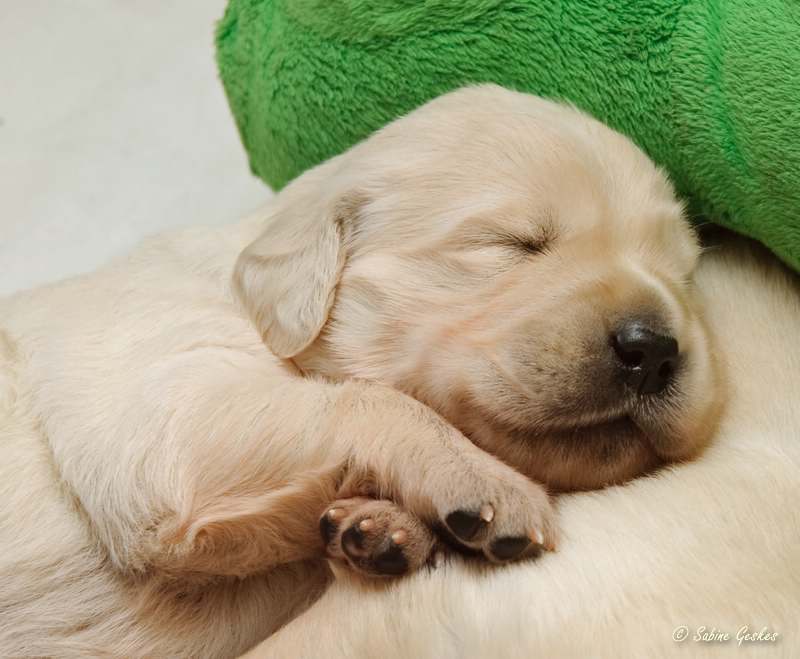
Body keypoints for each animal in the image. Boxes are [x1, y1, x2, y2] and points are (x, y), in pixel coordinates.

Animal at [0, 85, 721, 657]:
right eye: (513, 243)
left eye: (683, 274)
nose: (653, 347)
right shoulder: (155, 394)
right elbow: (365, 400)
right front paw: (482, 481)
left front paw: (377, 529)